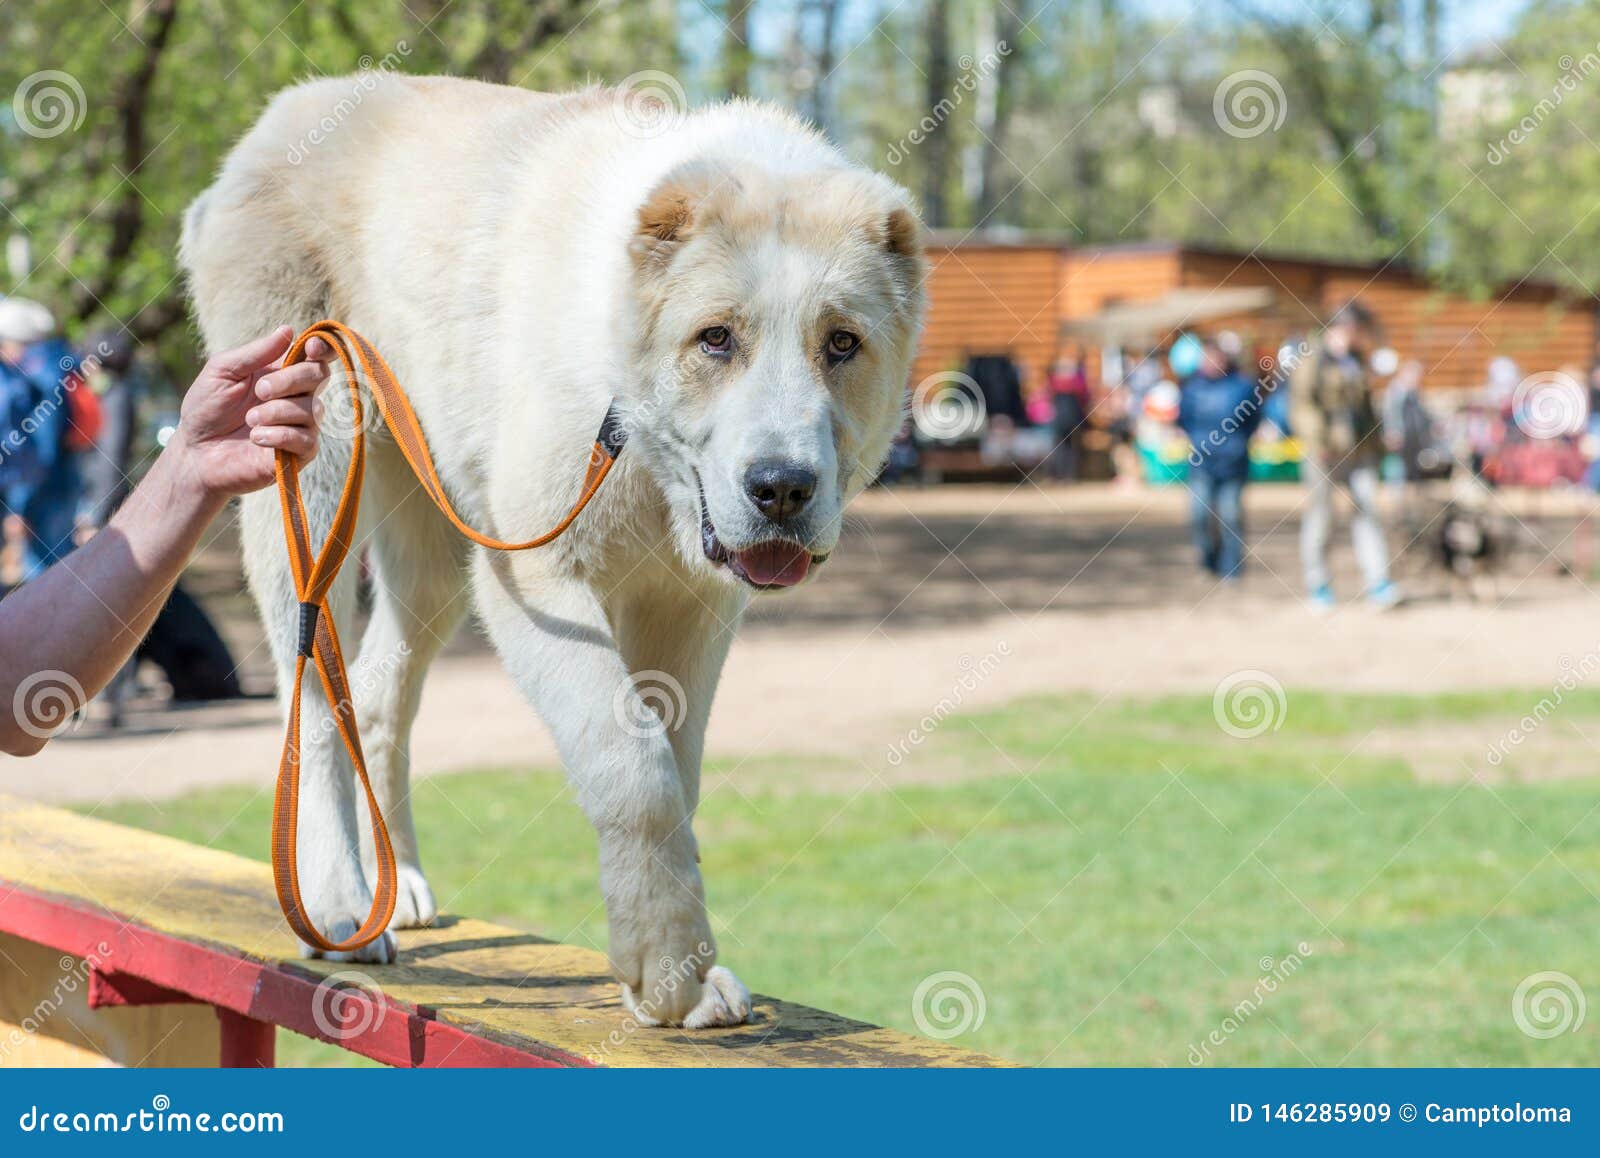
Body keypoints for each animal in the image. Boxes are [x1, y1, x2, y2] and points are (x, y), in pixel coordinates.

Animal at [181, 76, 928, 1023]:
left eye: (842, 343)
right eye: (716, 338)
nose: (782, 489)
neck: (635, 432)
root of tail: (283, 115)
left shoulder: (689, 606)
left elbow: (678, 772)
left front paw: (681, 971)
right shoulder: (534, 579)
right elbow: (635, 766)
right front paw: (665, 968)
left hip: (432, 550)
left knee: (378, 692)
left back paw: (401, 884)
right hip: (314, 472)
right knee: (312, 685)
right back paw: (342, 902)